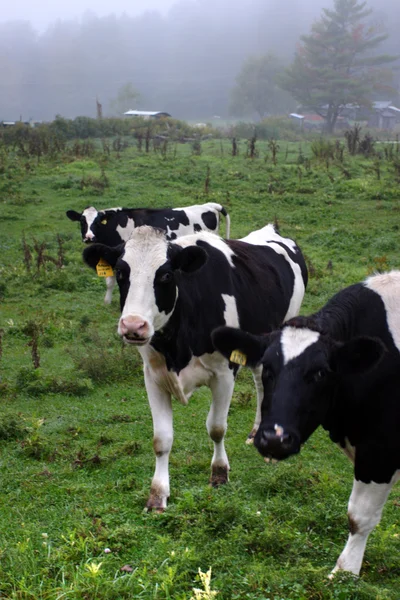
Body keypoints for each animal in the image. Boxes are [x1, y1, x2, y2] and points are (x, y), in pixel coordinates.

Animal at [66, 202, 231, 304]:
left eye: (97, 222)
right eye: (82, 221)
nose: (89, 237)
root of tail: (209, 205)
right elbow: (110, 282)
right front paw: (107, 302)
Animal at [80, 223, 306, 508]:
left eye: (166, 275)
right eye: (121, 272)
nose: (133, 326)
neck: (177, 345)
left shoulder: (224, 373)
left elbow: (217, 428)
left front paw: (219, 473)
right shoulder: (153, 376)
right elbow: (161, 438)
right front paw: (157, 495)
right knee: (259, 377)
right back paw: (256, 430)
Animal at [214, 270, 400, 576]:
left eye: (321, 373)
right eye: (267, 368)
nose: (274, 438)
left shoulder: (379, 451)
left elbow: (359, 516)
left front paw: (345, 573)